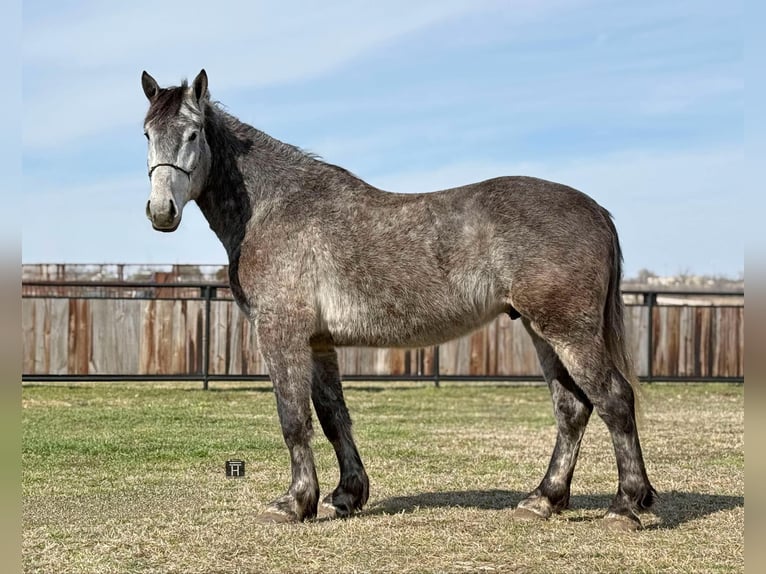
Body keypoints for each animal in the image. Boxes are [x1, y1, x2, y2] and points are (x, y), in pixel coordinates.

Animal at [141, 69, 655, 531]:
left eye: (192, 133)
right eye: (147, 134)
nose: (161, 212)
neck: (273, 207)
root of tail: (596, 210)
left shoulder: (282, 333)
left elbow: (293, 417)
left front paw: (294, 503)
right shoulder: (319, 341)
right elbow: (332, 415)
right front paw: (346, 495)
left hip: (569, 332)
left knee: (614, 401)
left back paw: (624, 507)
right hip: (541, 331)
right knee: (573, 410)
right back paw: (543, 499)